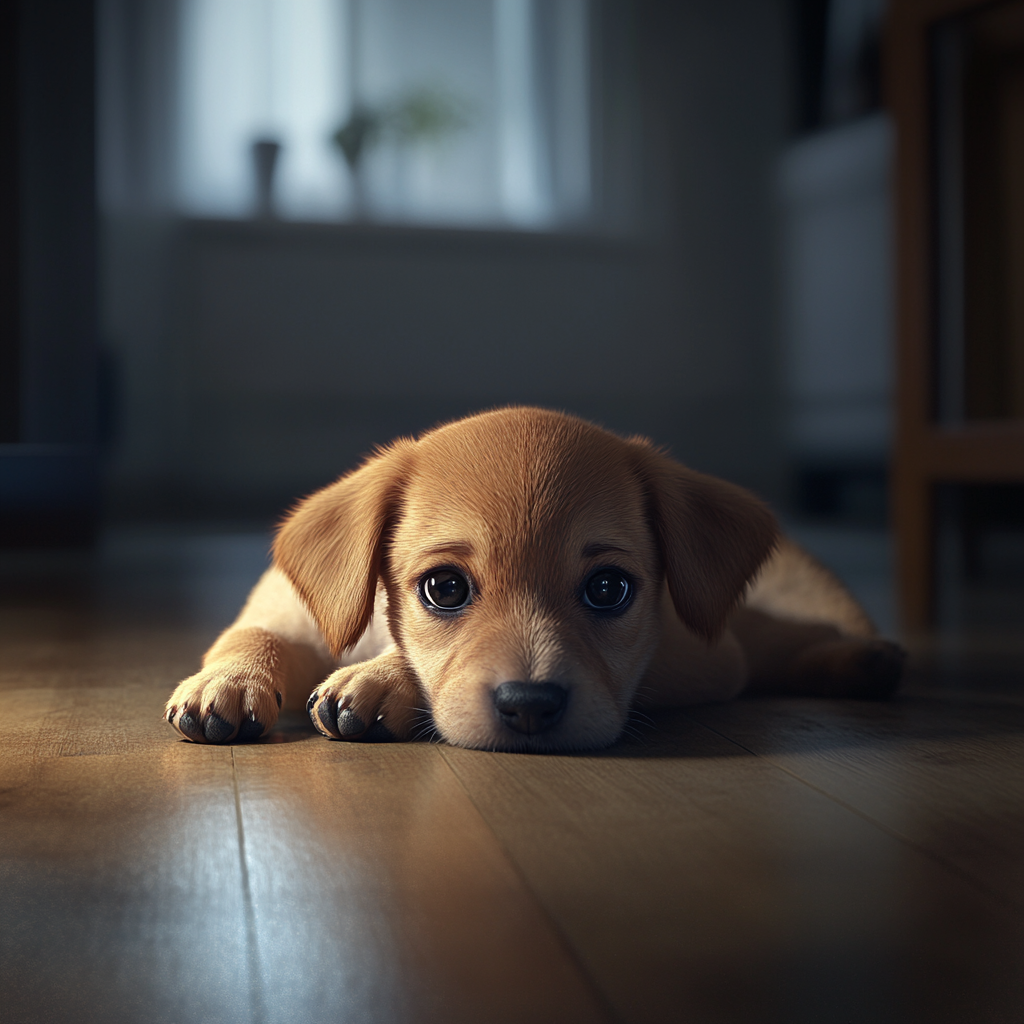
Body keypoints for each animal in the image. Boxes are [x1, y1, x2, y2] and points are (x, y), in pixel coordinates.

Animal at [161, 407, 905, 753]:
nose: (529, 706)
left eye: (608, 589)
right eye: (444, 588)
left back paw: (864, 659)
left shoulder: (703, 657)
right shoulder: (283, 613)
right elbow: (249, 639)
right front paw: (225, 683)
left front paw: (381, 680)